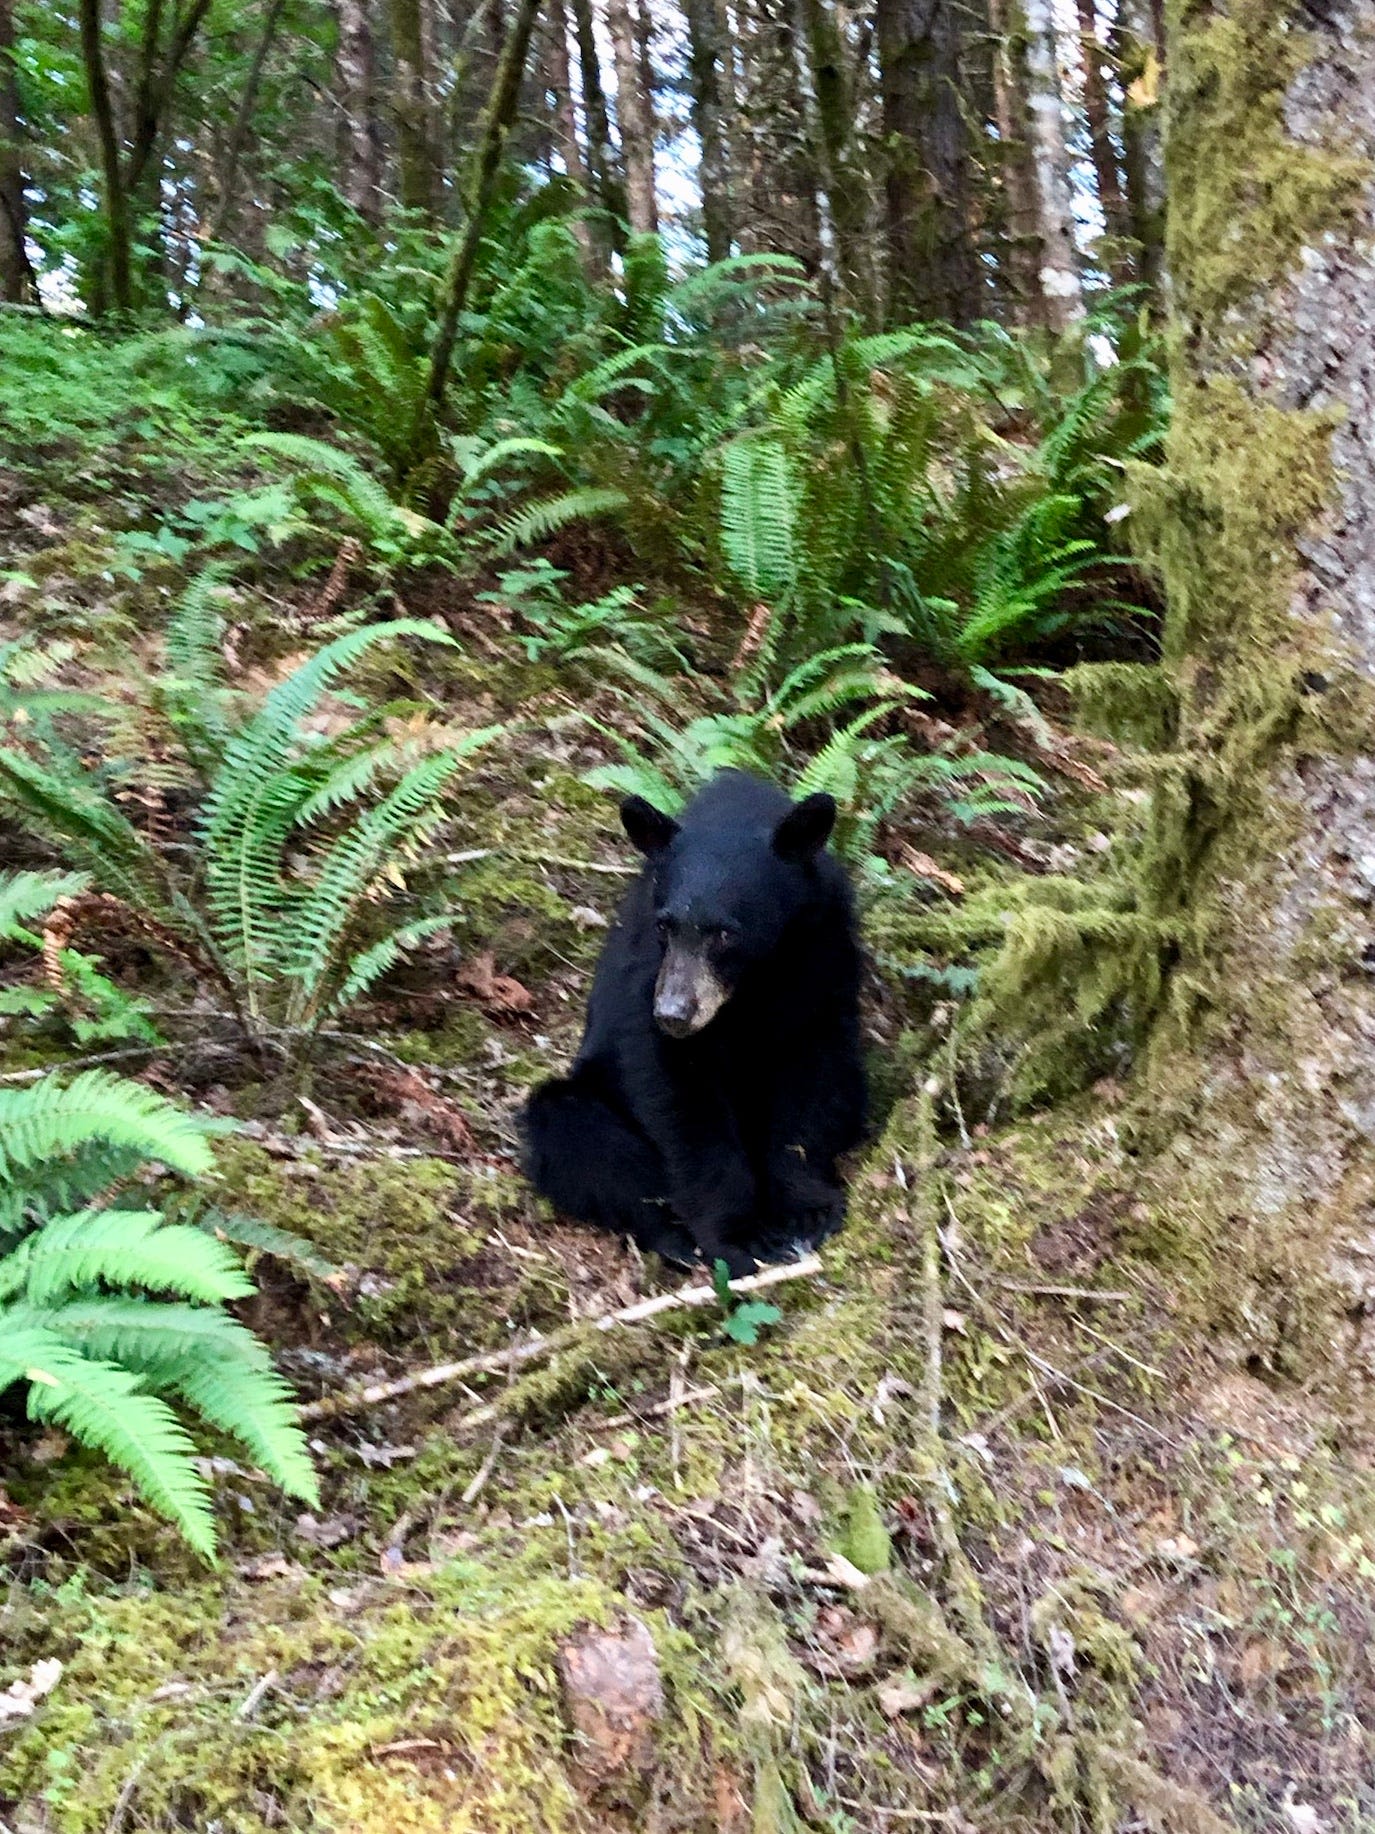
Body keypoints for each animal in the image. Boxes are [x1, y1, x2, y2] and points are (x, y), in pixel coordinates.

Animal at [520, 770, 865, 1276]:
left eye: (726, 933)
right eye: (667, 926)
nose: (674, 1013)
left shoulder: (823, 945)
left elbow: (813, 1072)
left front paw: (807, 1209)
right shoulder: (648, 969)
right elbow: (680, 1097)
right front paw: (739, 1233)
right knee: (574, 1132)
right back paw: (675, 1237)